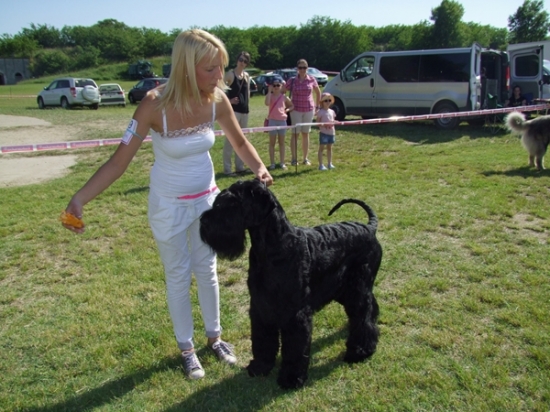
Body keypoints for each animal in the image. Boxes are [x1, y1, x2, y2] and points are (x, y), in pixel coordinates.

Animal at [200, 179, 382, 389]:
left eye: (232, 203)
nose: (203, 222)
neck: (273, 247)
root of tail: (369, 228)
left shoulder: (296, 313)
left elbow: (294, 347)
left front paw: (291, 378)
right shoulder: (261, 306)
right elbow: (262, 339)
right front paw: (260, 366)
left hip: (357, 289)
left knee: (363, 315)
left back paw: (360, 350)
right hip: (346, 291)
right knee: (369, 307)